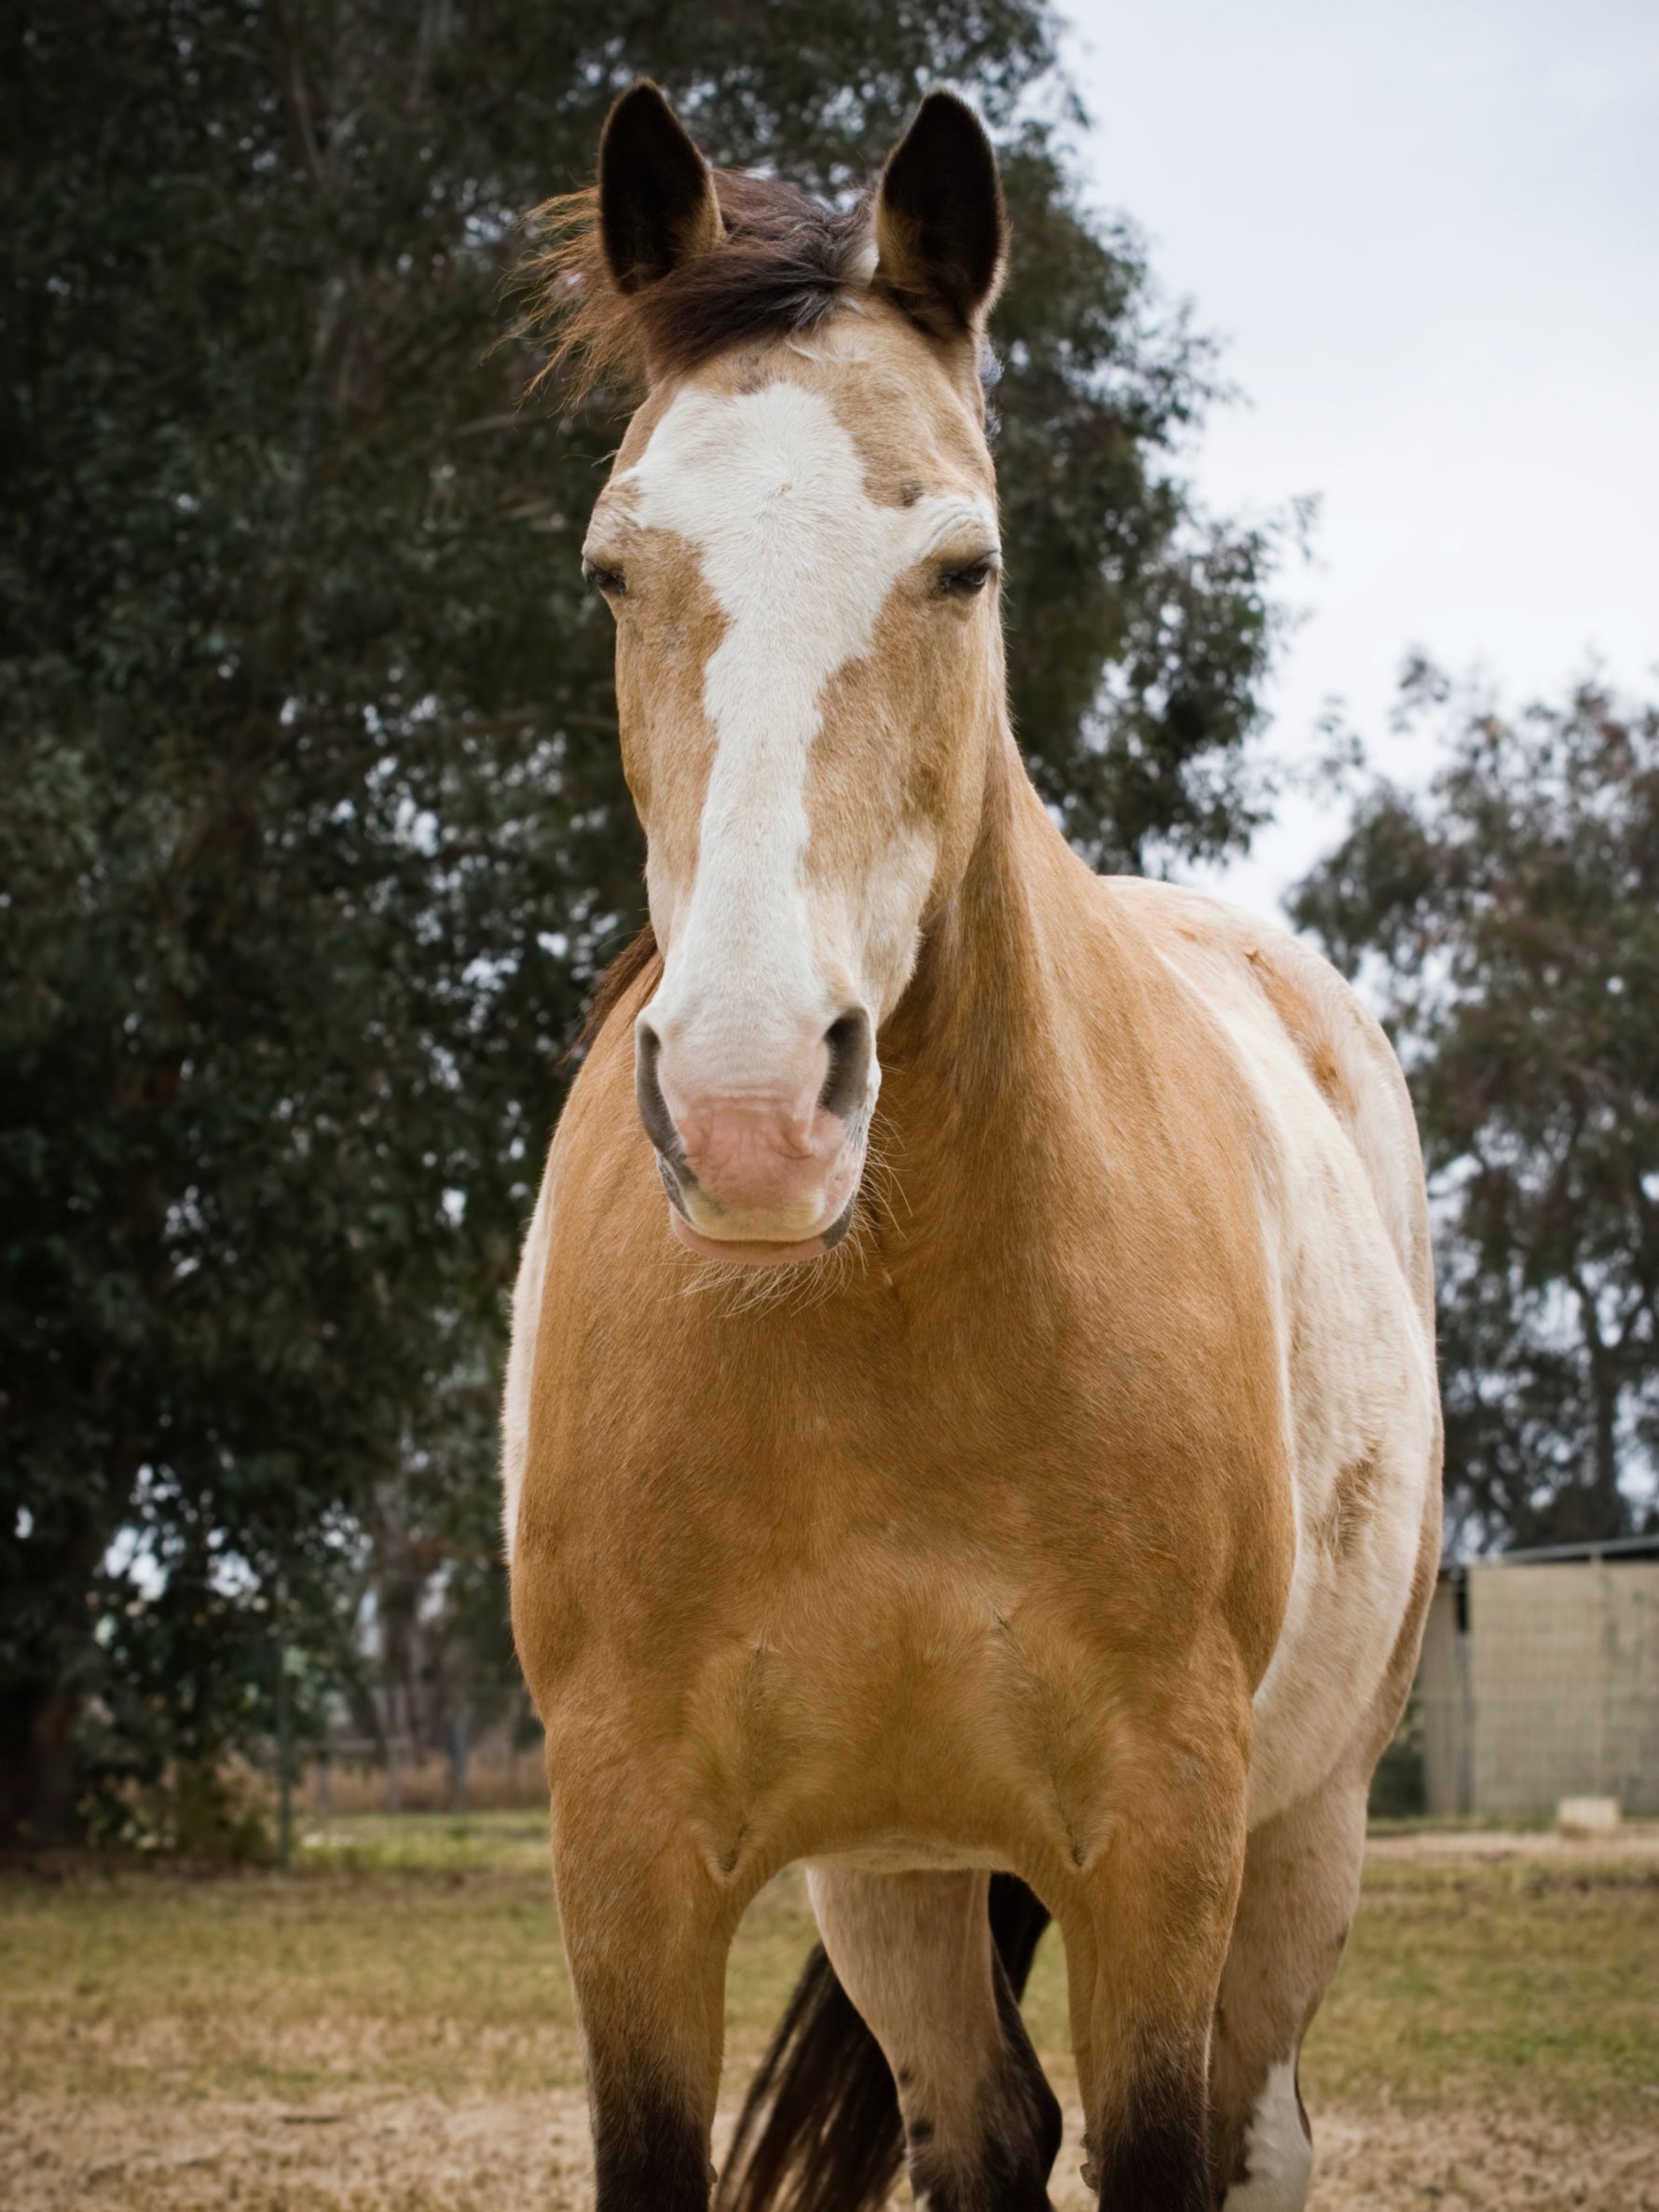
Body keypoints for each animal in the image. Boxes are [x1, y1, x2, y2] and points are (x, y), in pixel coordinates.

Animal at [503, 81, 1441, 2212]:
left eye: (963, 565)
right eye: (609, 572)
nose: (756, 1105)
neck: (887, 1329)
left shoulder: (1164, 1839)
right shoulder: (628, 1854)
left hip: (1303, 1837)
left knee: (1258, 2128)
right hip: (895, 1874)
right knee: (985, 2127)